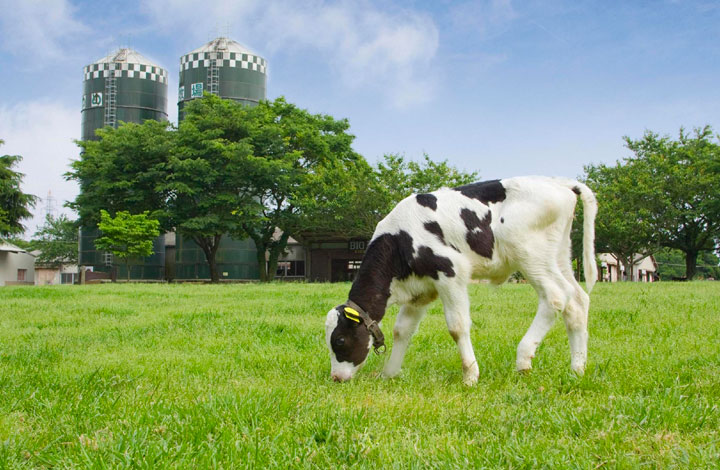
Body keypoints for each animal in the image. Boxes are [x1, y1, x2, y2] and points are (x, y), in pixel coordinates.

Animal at [326, 175, 596, 382]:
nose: (336, 378)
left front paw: (470, 375)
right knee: (577, 300)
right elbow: (402, 330)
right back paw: (577, 369)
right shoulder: (420, 292)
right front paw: (390, 373)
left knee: (556, 296)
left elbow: (457, 327)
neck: (399, 241)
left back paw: (523, 360)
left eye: (339, 340)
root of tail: (560, 182)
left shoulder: (450, 272)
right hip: (559, 255)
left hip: (530, 254)